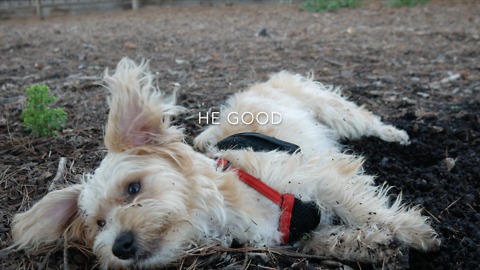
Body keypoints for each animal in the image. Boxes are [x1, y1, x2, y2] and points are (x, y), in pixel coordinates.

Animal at [10, 58, 438, 268]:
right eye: (99, 224)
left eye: (133, 188)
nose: (120, 246)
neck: (233, 206)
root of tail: (260, 81)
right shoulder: (295, 233)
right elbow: (329, 239)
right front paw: (373, 245)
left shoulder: (322, 176)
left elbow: (364, 208)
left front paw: (412, 231)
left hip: (333, 110)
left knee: (364, 118)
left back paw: (395, 135)